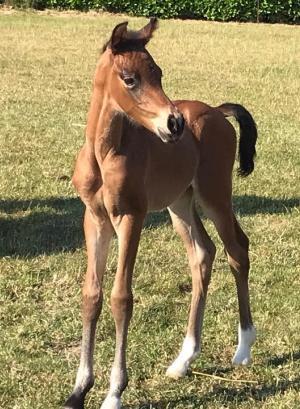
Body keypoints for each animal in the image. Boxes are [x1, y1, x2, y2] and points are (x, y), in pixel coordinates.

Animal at [65, 19, 258, 408]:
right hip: (180, 203)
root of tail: (218, 111)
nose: (175, 124)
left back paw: (244, 348)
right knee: (203, 254)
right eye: (129, 79)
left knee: (236, 249)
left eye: (159, 73)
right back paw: (184, 360)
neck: (105, 152)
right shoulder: (94, 218)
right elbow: (91, 295)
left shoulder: (131, 217)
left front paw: (114, 393)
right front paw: (79, 389)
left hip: (215, 195)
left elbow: (121, 298)